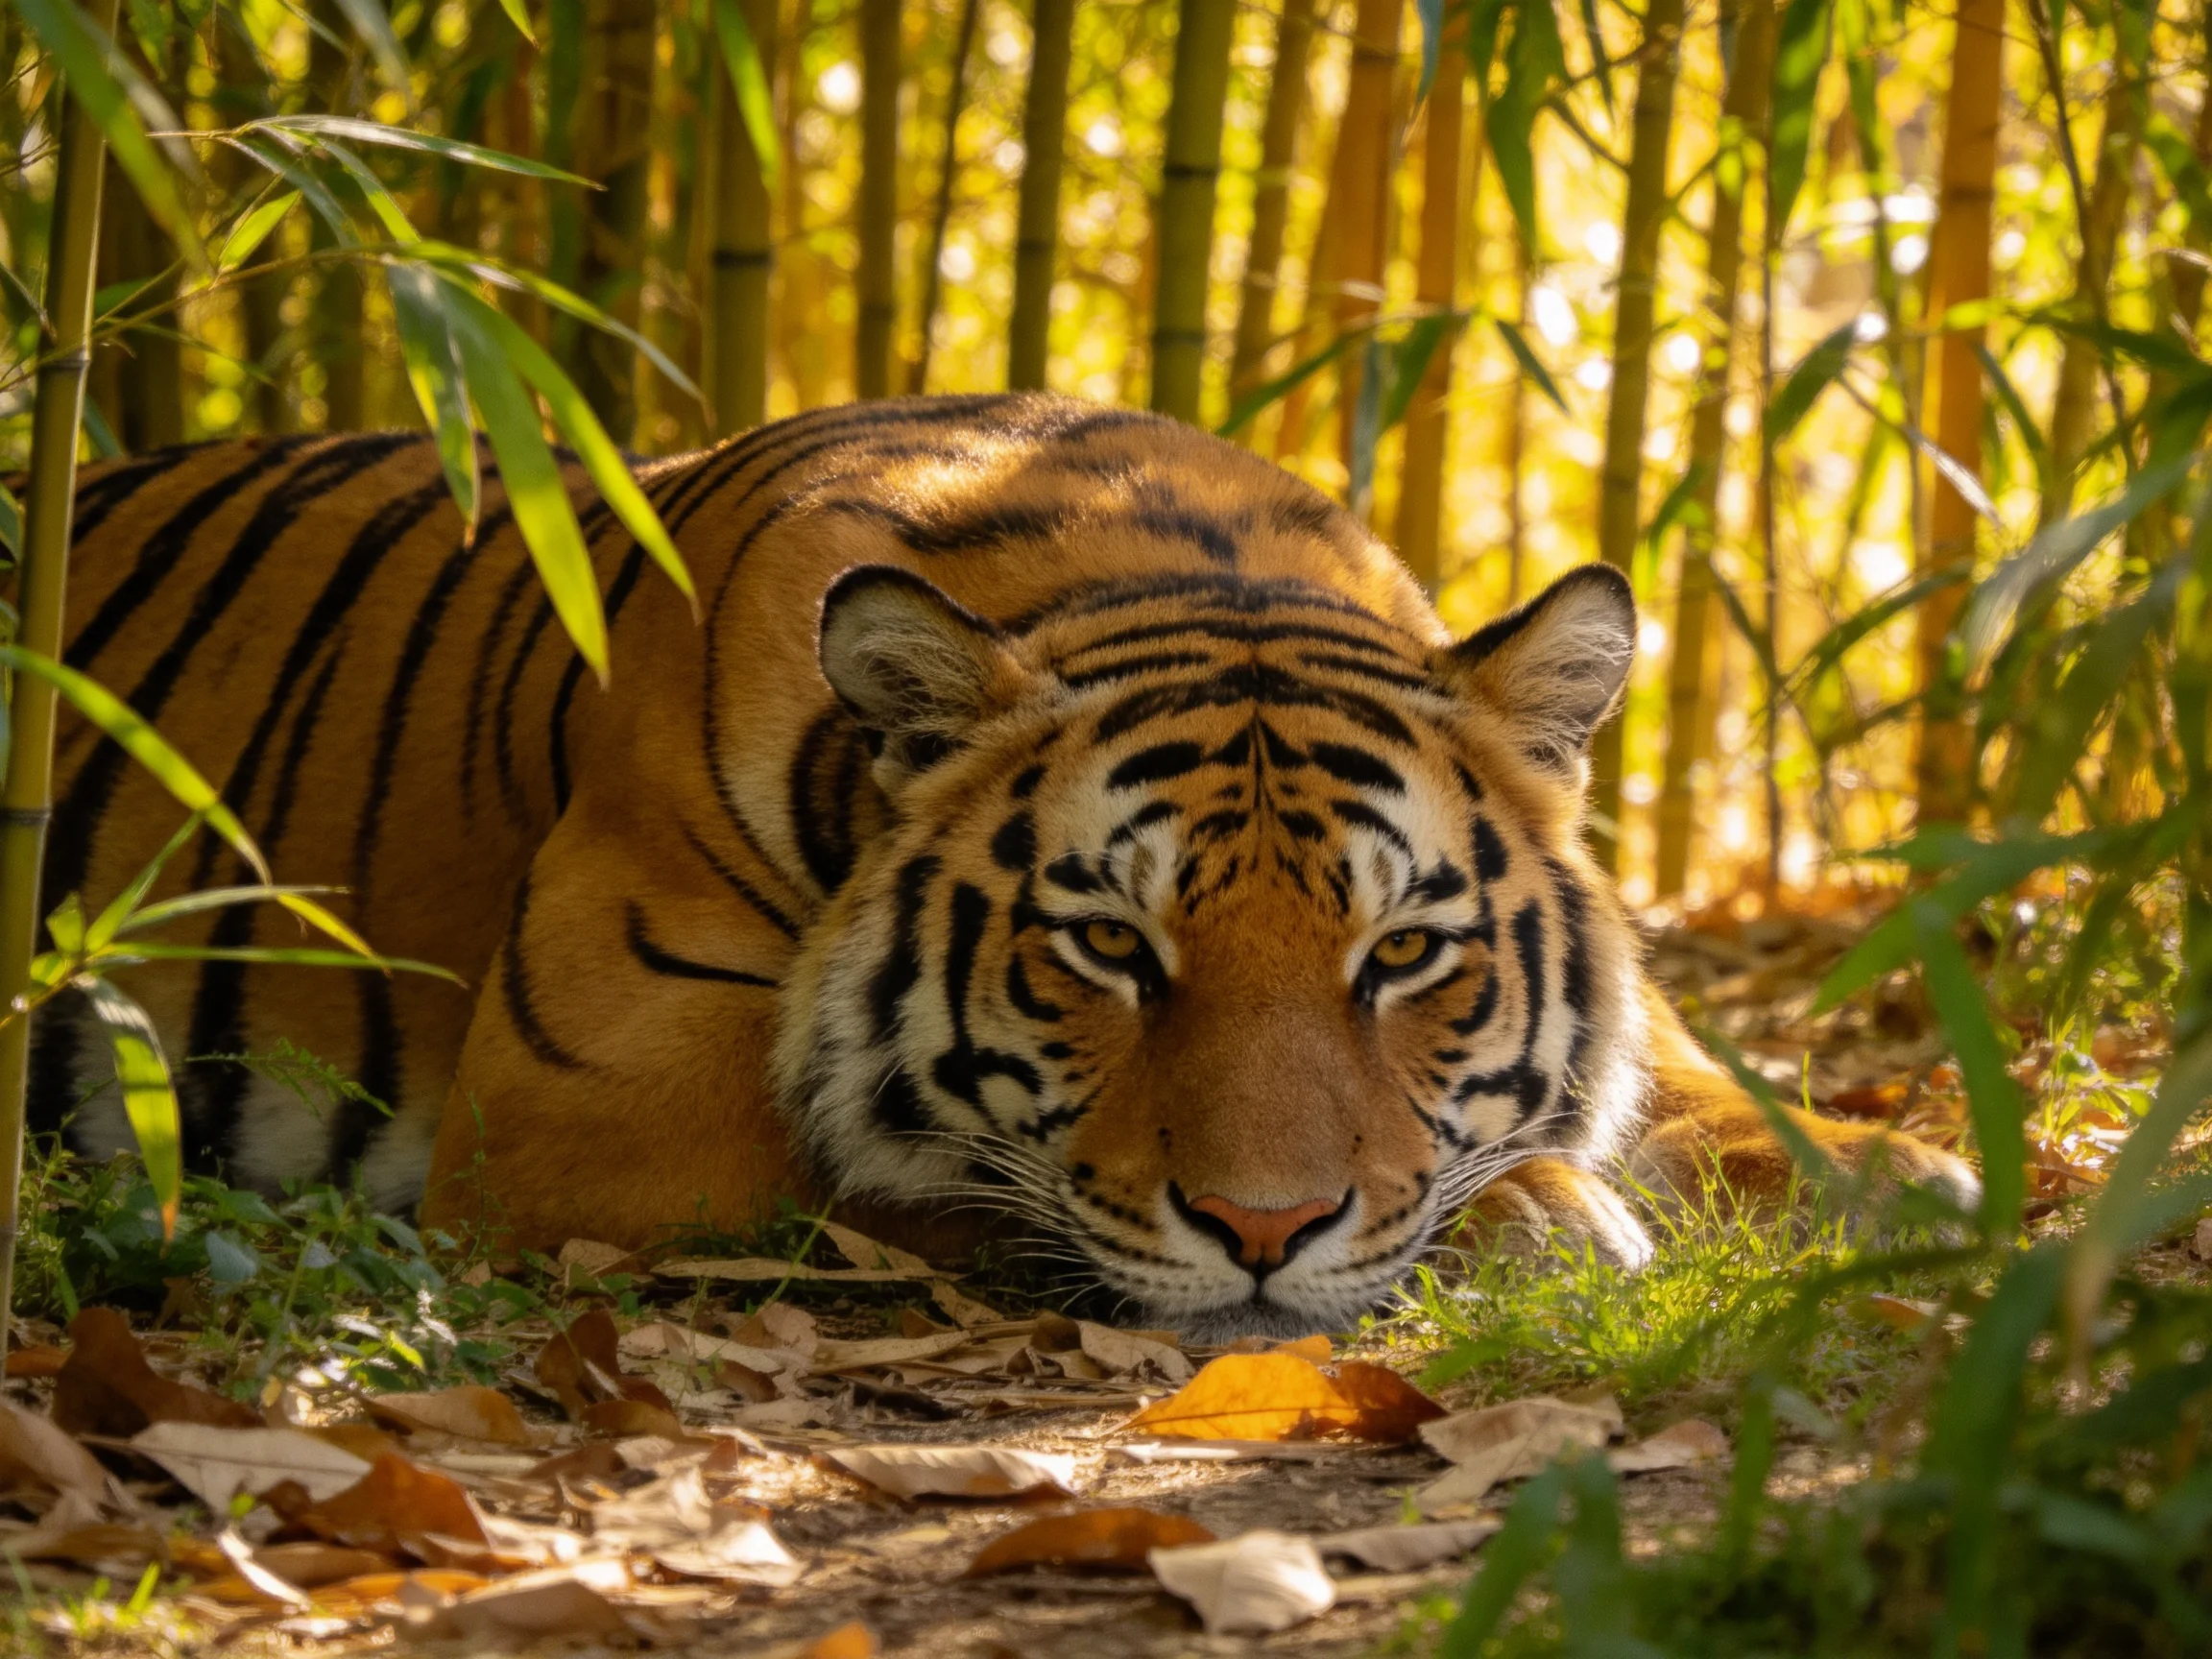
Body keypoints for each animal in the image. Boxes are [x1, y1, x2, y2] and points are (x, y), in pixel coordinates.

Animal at [37, 394, 1977, 1337]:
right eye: (1110, 949)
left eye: (1400, 957)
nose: (1263, 1233)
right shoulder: (594, 1109)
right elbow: (923, 1154)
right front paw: (1541, 1216)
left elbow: (1691, 1087)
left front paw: (1903, 1170)